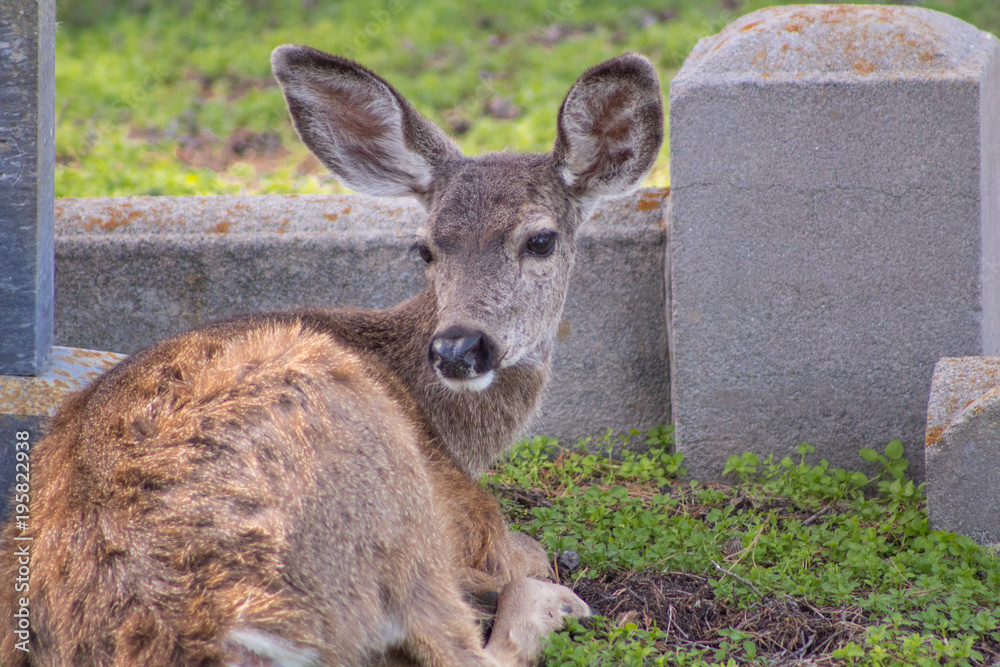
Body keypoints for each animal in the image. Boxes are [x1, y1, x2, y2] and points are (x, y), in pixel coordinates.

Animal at [0, 45, 663, 666]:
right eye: (425, 248)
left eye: (541, 240)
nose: (458, 346)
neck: (455, 434)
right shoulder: (473, 519)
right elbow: (529, 554)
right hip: (386, 497)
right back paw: (557, 604)